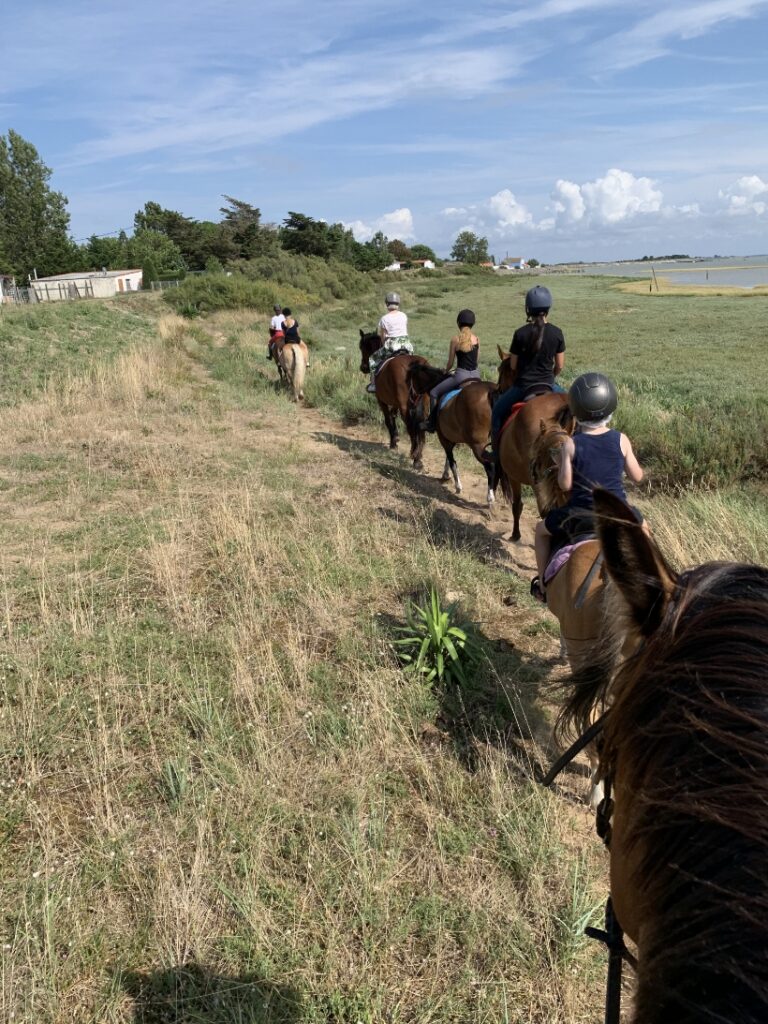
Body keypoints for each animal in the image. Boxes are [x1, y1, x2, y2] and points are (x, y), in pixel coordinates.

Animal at [360, 329, 430, 468]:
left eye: (361, 347)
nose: (363, 368)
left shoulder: (381, 400)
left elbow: (388, 419)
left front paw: (393, 442)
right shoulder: (395, 402)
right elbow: (393, 416)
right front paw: (396, 437)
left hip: (405, 406)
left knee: (410, 427)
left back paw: (415, 456)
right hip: (423, 405)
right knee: (420, 427)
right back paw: (418, 456)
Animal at [405, 364, 495, 507]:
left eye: (410, 380)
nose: (411, 400)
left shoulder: (443, 437)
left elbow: (452, 460)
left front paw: (458, 486)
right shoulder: (450, 436)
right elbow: (448, 458)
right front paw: (446, 475)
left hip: (478, 445)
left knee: (490, 467)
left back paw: (490, 498)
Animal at [493, 346, 573, 544]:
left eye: (500, 369)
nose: (498, 390)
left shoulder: (513, 476)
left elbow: (517, 505)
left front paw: (515, 535)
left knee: (546, 513)